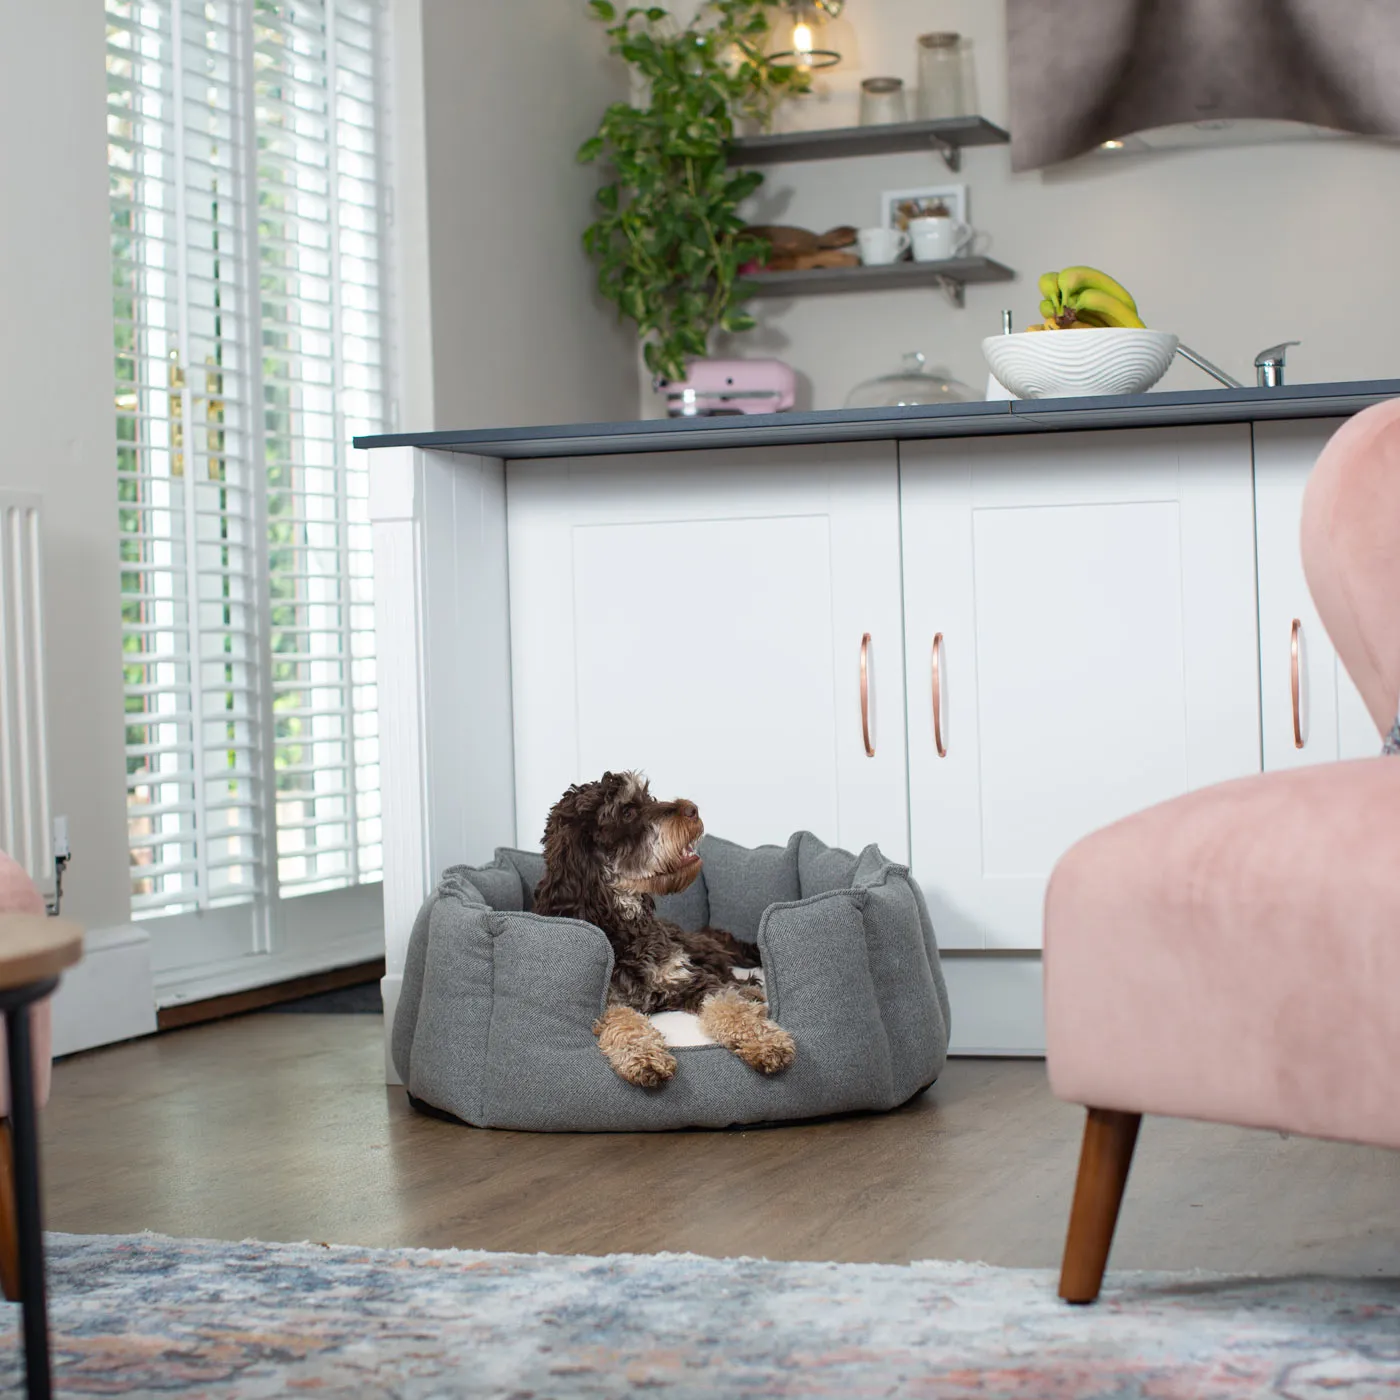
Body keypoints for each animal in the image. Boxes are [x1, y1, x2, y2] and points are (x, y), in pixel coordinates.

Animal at [534, 772, 795, 1086]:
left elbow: (729, 1003)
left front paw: (765, 1040)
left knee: (729, 975)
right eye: (627, 811)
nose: (692, 809)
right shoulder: (605, 1003)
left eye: (649, 798)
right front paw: (643, 1055)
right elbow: (623, 1020)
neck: (625, 926)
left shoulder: (688, 979)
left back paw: (749, 991)